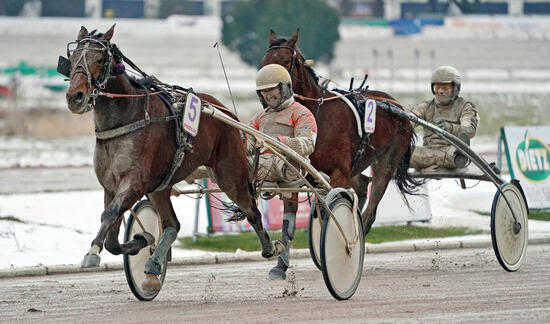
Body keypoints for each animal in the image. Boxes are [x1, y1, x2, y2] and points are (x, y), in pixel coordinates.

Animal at [64, 24, 284, 288]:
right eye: (72, 59)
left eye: (99, 59)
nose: (75, 97)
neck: (127, 117)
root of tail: (225, 110)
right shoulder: (111, 186)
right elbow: (113, 239)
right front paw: (142, 239)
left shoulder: (134, 183)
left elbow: (109, 217)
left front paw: (92, 252)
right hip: (160, 187)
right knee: (172, 224)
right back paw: (153, 265)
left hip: (230, 173)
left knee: (251, 209)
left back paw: (271, 248)